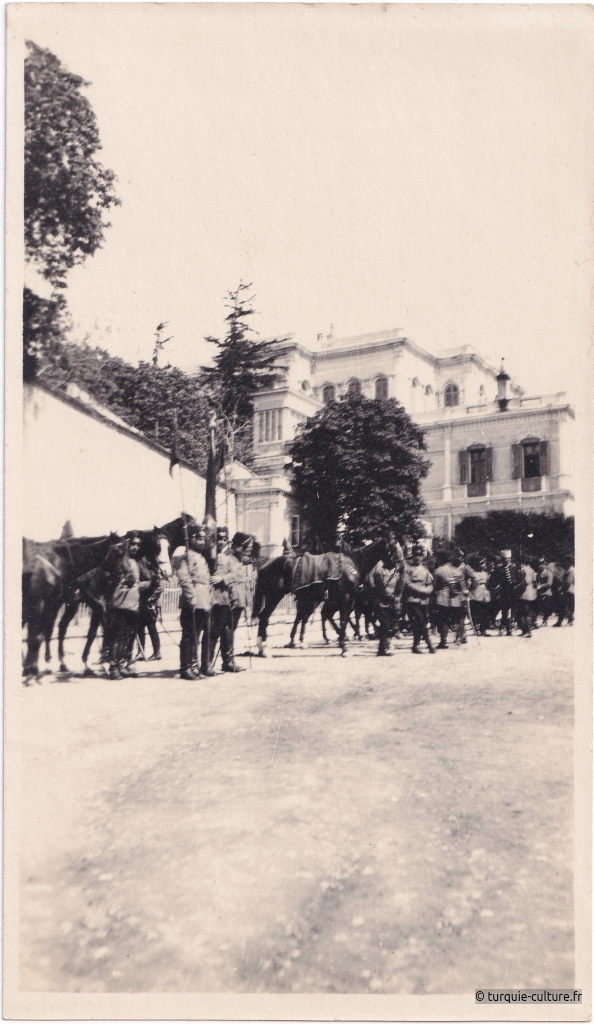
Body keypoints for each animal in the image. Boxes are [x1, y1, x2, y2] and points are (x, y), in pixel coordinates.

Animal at [250, 536, 403, 655]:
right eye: (395, 548)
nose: (401, 567)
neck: (353, 564)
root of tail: (264, 567)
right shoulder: (347, 598)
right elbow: (344, 620)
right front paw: (344, 647)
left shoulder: (350, 600)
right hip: (276, 596)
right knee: (266, 617)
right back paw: (266, 647)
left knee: (287, 617)